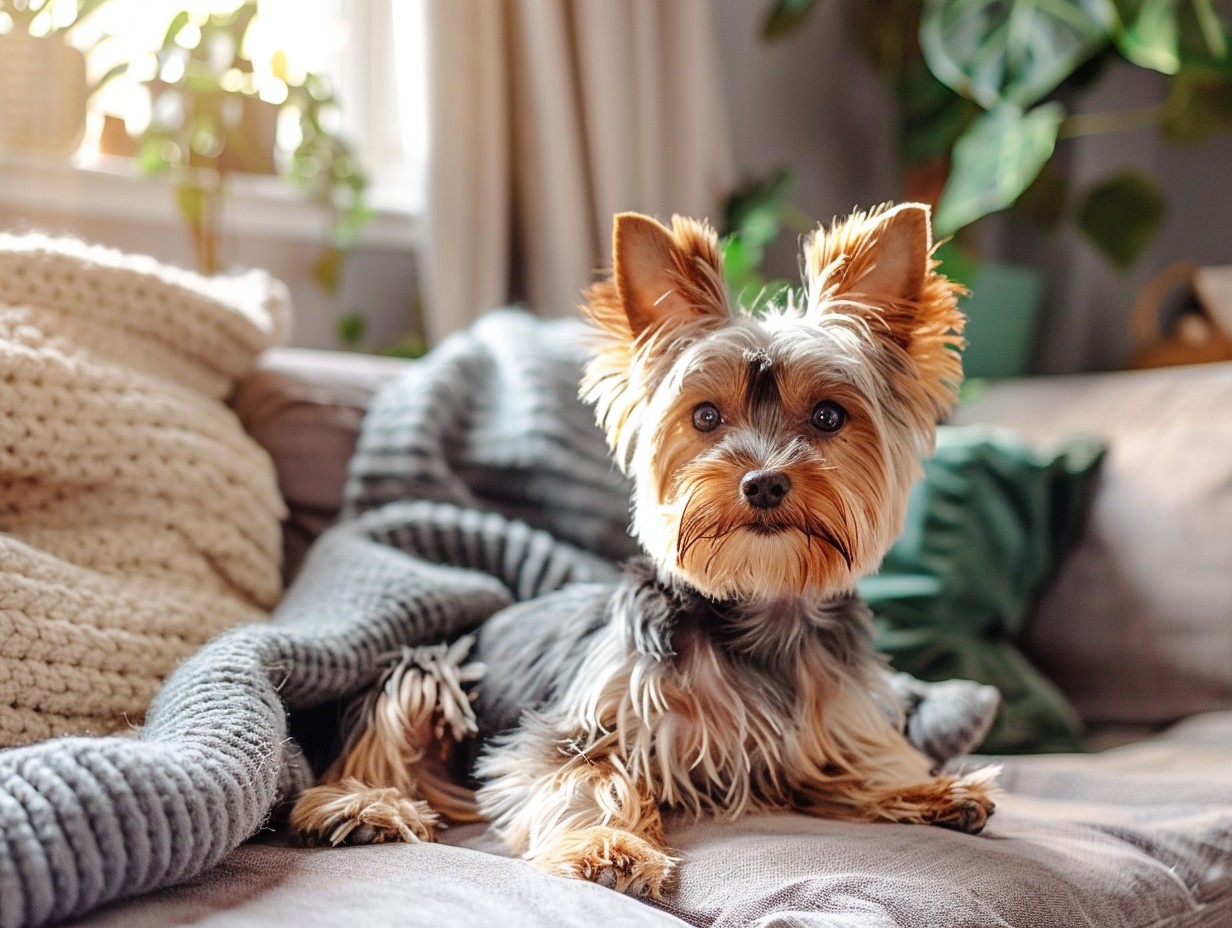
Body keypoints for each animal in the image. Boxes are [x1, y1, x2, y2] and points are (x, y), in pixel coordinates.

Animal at [288, 202, 1000, 897]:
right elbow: (584, 778)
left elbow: (860, 759)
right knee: (387, 731)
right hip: (426, 666)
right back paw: (363, 806)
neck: (756, 608)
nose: (763, 481)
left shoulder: (827, 720)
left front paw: (926, 788)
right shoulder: (572, 727)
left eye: (829, 415)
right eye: (706, 416)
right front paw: (608, 847)